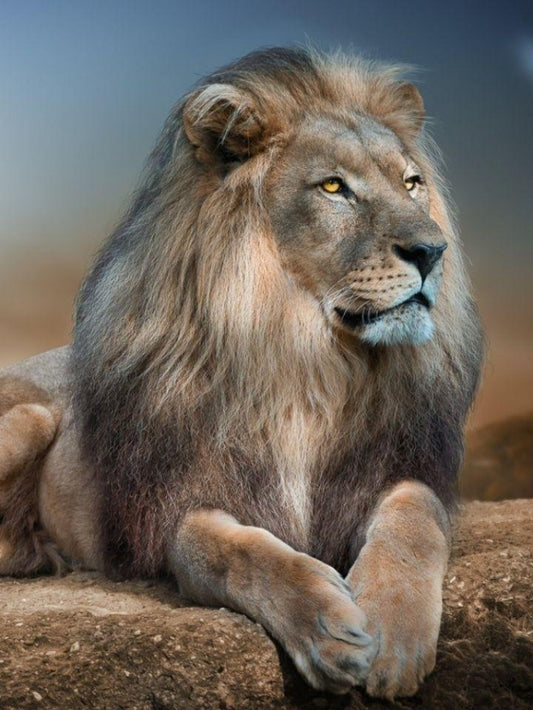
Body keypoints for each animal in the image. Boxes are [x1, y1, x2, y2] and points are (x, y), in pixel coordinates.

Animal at [0, 47, 483, 699]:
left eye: (412, 183)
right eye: (334, 187)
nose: (433, 252)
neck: (308, 362)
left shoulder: (398, 465)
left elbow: (415, 518)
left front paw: (394, 636)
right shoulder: (177, 502)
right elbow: (233, 552)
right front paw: (327, 628)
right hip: (28, 415)